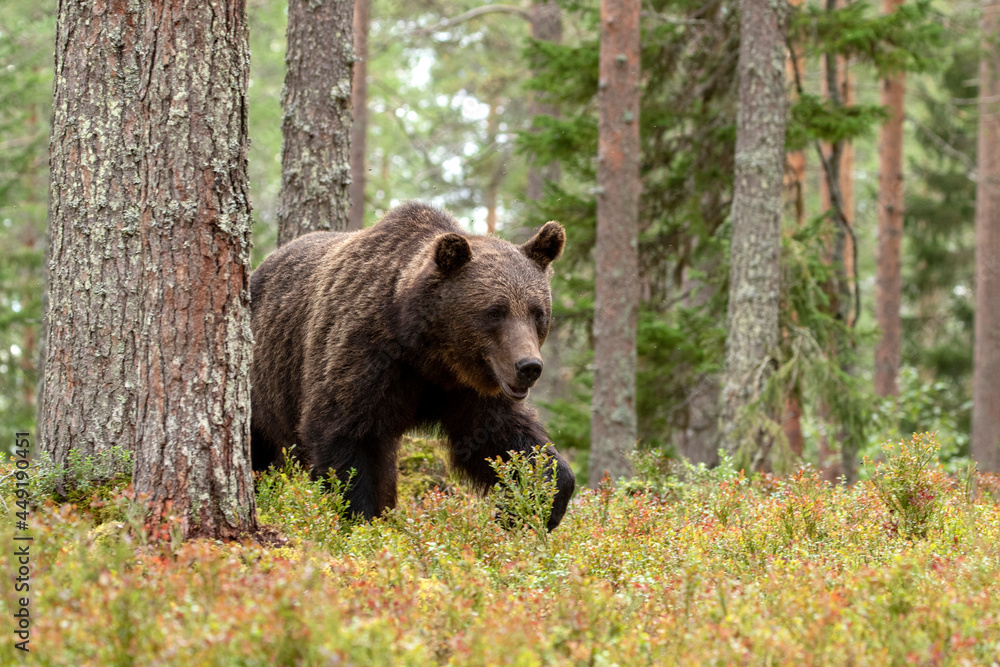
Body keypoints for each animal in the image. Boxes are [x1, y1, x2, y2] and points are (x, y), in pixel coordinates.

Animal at [250, 204, 576, 532]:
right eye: (495, 311)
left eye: (538, 312)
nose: (529, 367)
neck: (430, 353)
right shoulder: (367, 357)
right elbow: (346, 437)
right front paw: (362, 519)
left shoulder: (469, 389)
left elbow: (504, 440)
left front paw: (527, 507)